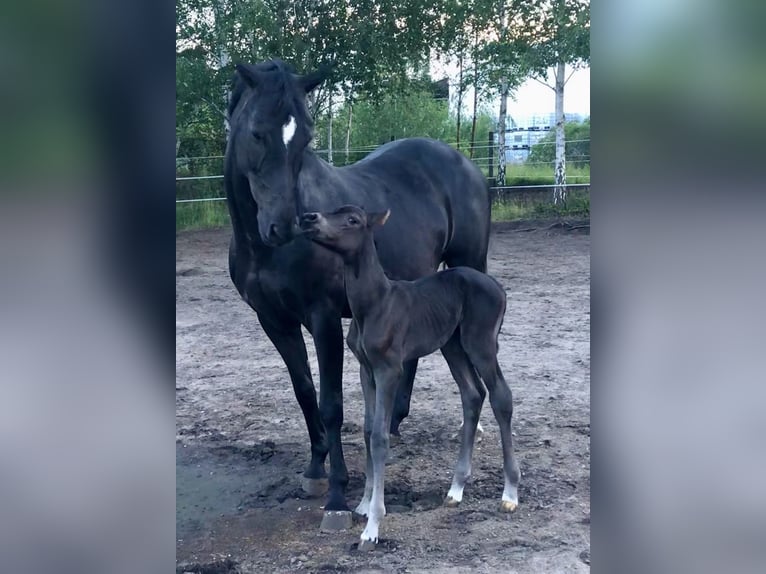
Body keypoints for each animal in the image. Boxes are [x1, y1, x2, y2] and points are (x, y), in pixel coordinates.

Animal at [224, 59, 491, 529]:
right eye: (256, 131)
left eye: (306, 137)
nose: (286, 225)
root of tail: (465, 163)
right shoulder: (273, 320)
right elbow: (304, 392)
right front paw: (315, 470)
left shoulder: (324, 317)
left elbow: (331, 403)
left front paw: (336, 496)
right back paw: (396, 421)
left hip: (470, 267)